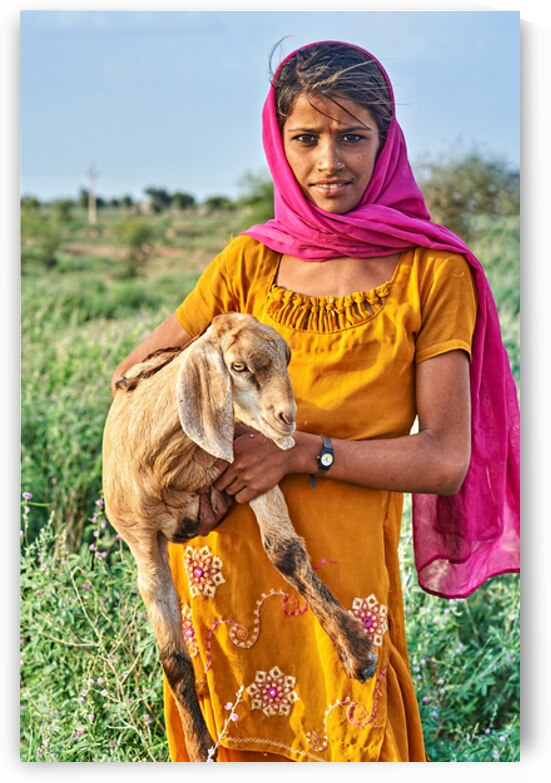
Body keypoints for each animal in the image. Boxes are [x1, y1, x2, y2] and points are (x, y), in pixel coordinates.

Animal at [102, 312, 377, 762]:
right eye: (238, 366)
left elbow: (285, 552)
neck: (169, 466)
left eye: (287, 358)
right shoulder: (142, 541)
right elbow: (174, 660)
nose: (287, 417)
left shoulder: (250, 469)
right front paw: (200, 748)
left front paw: (358, 650)